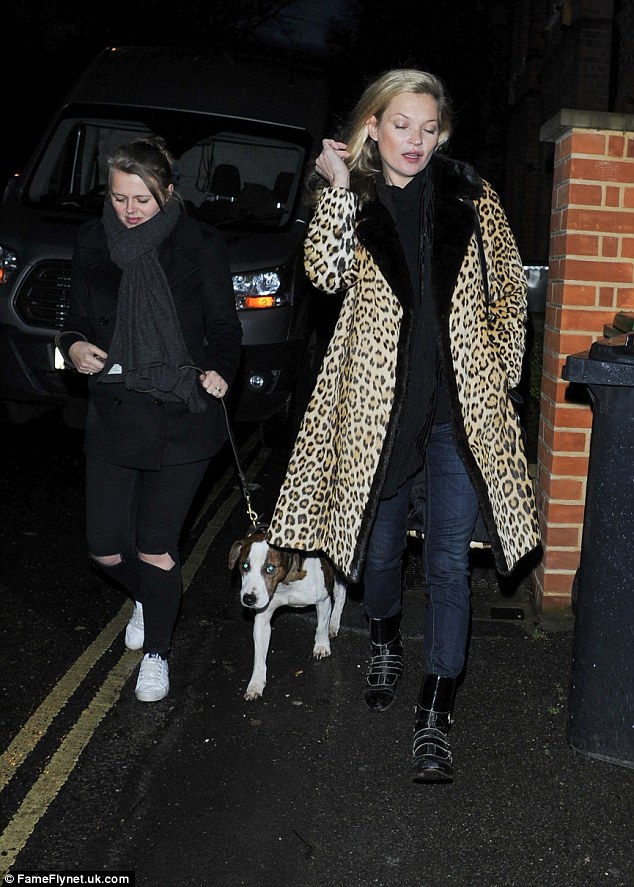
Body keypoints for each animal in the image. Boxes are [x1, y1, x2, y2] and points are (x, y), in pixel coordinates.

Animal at [229, 527, 347, 700]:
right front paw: (256, 683)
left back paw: (334, 622)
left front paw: (321, 645)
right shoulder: (262, 618)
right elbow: (259, 655)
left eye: (270, 568)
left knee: (341, 592)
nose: (248, 599)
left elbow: (321, 626)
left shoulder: (323, 601)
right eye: (244, 566)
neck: (285, 583)